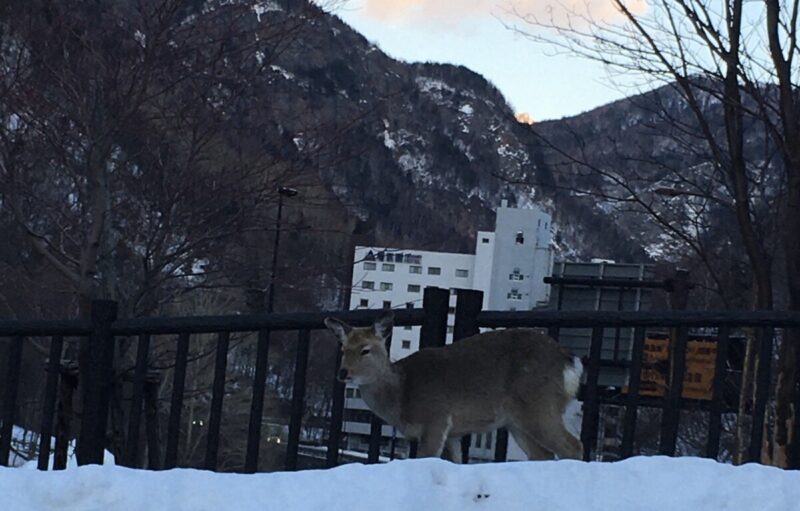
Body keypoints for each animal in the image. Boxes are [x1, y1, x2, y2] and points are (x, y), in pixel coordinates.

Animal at [324, 310, 584, 462]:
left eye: (365, 349)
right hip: (516, 420)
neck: (403, 394)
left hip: (539, 403)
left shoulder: (436, 417)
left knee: (572, 446)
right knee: (544, 454)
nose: (343, 373)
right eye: (343, 349)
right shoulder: (454, 433)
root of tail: (570, 362)